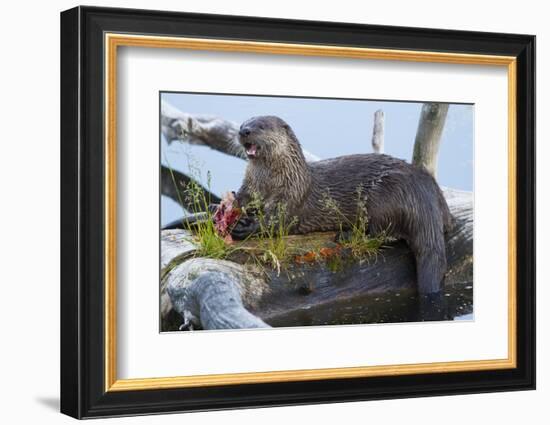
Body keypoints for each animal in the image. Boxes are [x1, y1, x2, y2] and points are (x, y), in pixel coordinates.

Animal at [233, 116, 452, 294]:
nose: (244, 131)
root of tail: (424, 200)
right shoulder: (249, 188)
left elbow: (276, 222)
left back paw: (346, 235)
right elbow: (240, 201)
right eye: (243, 123)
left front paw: (244, 227)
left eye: (261, 126)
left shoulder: (290, 197)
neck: (270, 182)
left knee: (380, 234)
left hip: (385, 198)